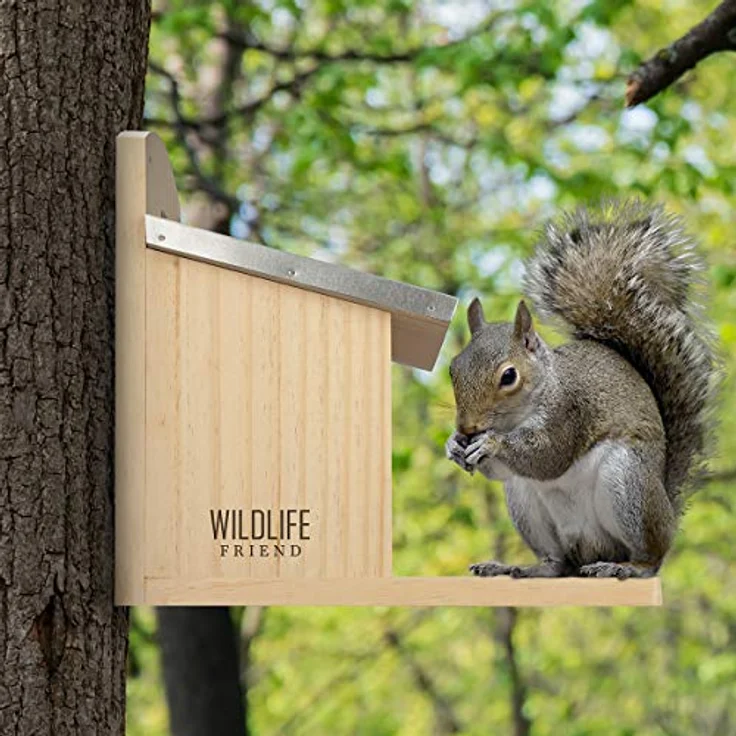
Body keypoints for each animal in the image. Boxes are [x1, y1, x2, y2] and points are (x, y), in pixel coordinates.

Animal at [446, 200, 718, 579]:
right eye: (453, 368)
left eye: (509, 376)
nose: (467, 427)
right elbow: (501, 470)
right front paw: (454, 446)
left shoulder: (569, 411)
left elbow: (548, 456)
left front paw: (491, 443)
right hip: (524, 502)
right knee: (556, 563)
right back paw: (523, 568)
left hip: (628, 484)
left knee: (651, 556)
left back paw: (626, 567)